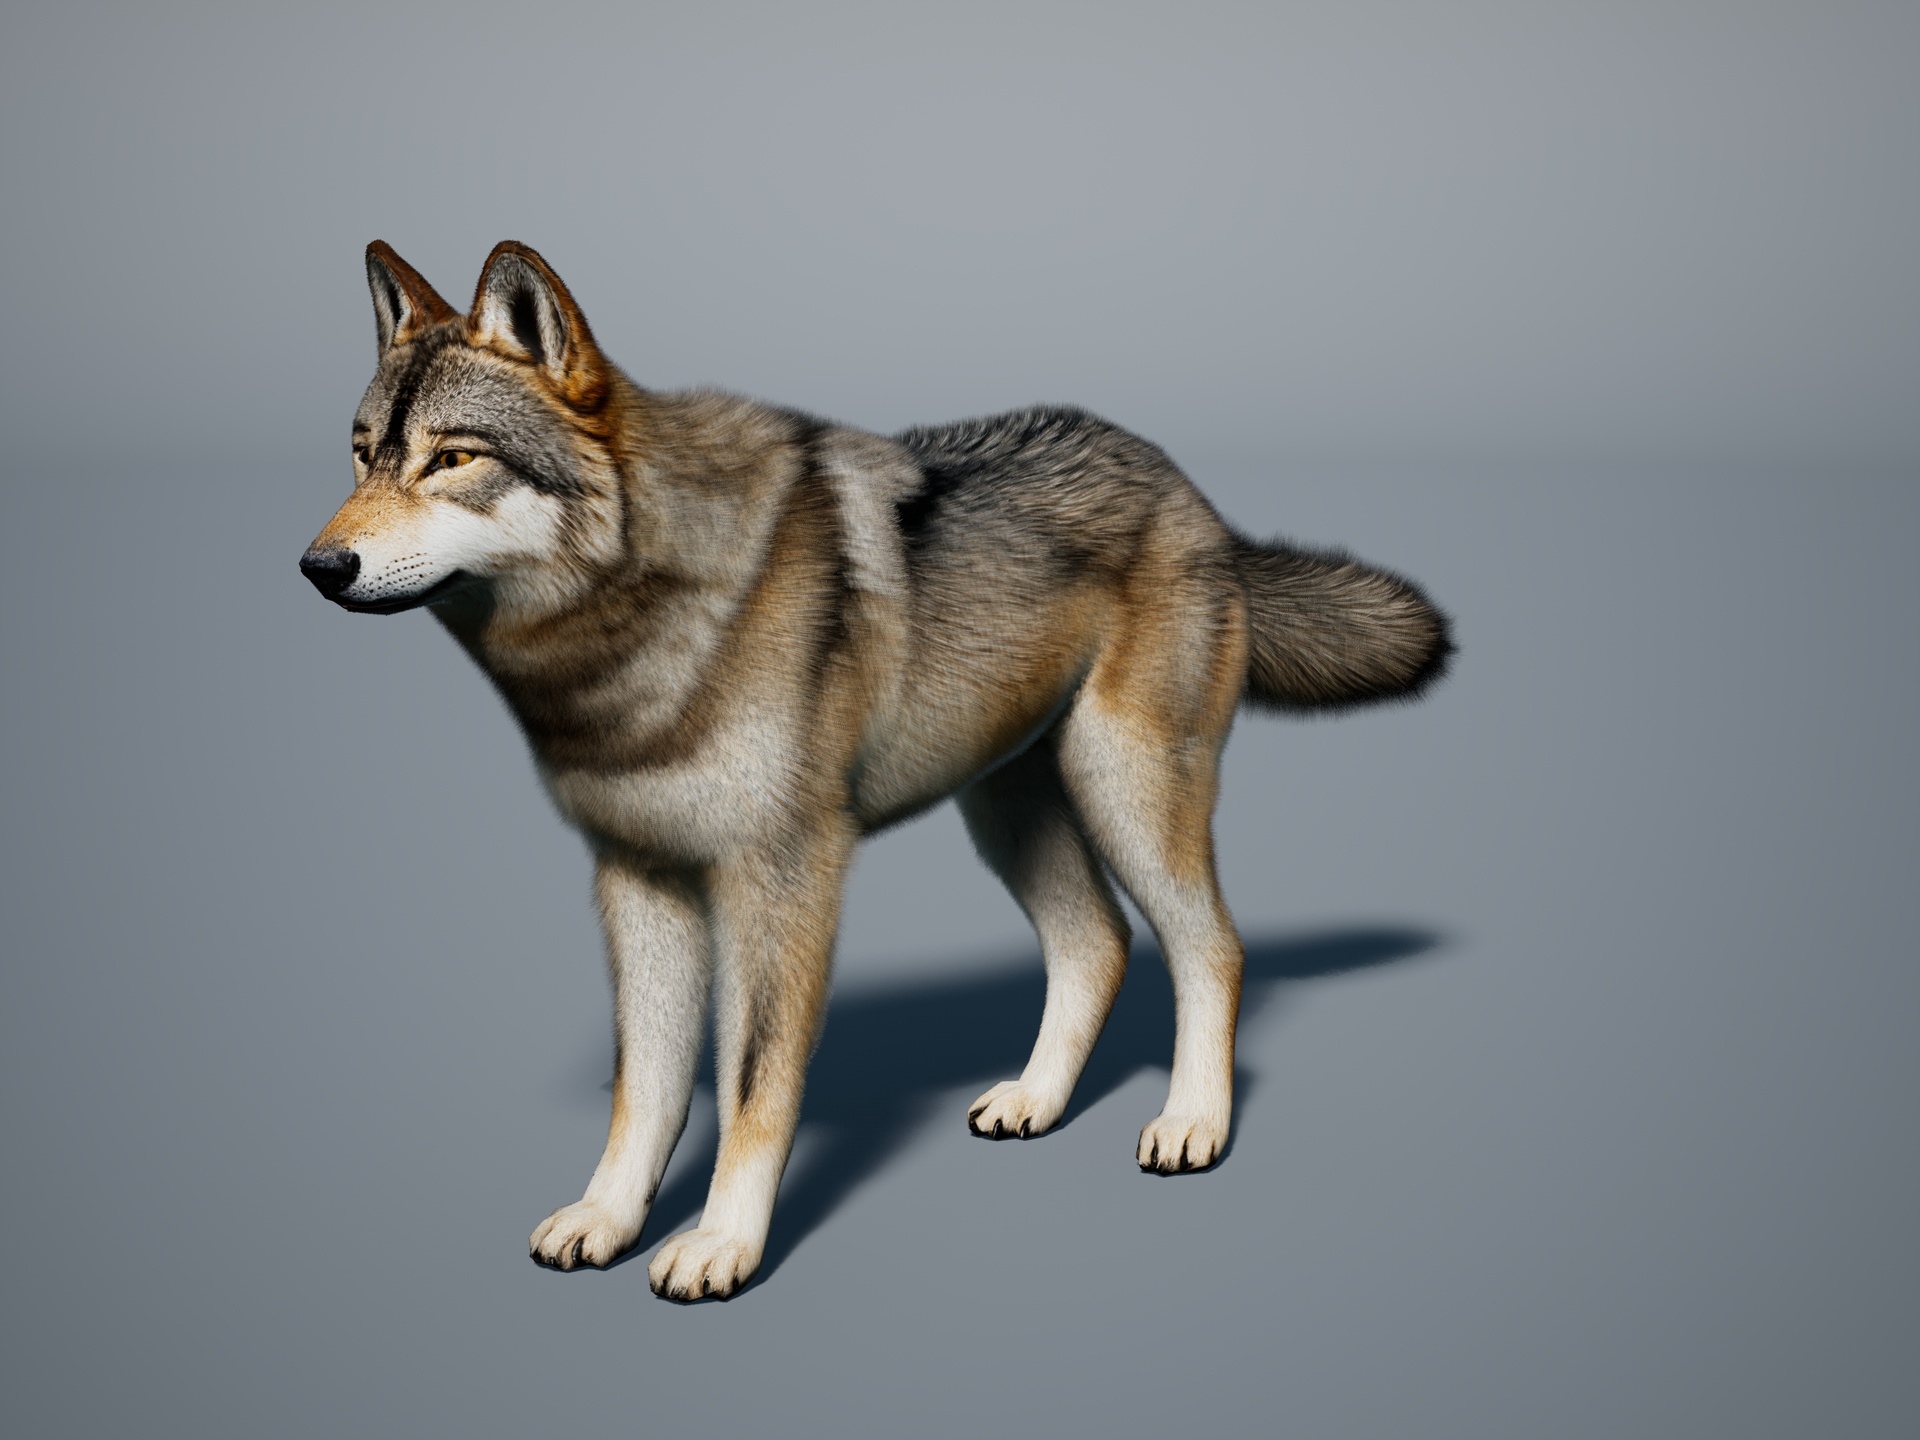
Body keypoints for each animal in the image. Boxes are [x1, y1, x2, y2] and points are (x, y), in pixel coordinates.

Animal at [299, 240, 1451, 1300]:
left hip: (1125, 792)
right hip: (1008, 814)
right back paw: (1035, 1100)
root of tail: (1191, 490)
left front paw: (720, 1245)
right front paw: (607, 1217)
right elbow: (647, 1089)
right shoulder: (637, 882)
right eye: (360, 455)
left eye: (451, 459)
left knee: (1211, 946)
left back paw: (1193, 1122)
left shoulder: (779, 882)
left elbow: (753, 1086)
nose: (319, 567)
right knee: (1099, 945)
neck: (632, 636)